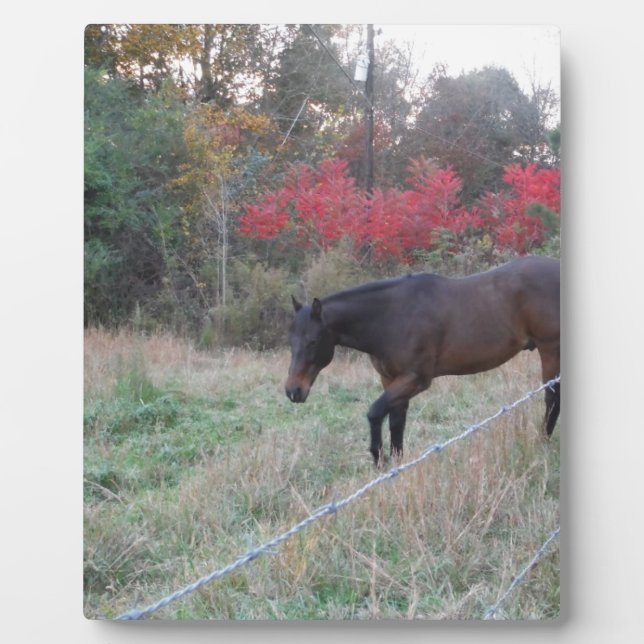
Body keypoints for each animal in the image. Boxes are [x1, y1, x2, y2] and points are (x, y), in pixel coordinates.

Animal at [285, 256, 560, 466]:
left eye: (312, 341)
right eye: (291, 341)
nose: (293, 391)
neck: (391, 317)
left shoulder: (415, 379)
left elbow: (374, 413)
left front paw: (378, 458)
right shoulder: (390, 380)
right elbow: (396, 424)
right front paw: (395, 465)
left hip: (550, 350)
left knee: (552, 399)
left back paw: (542, 445)